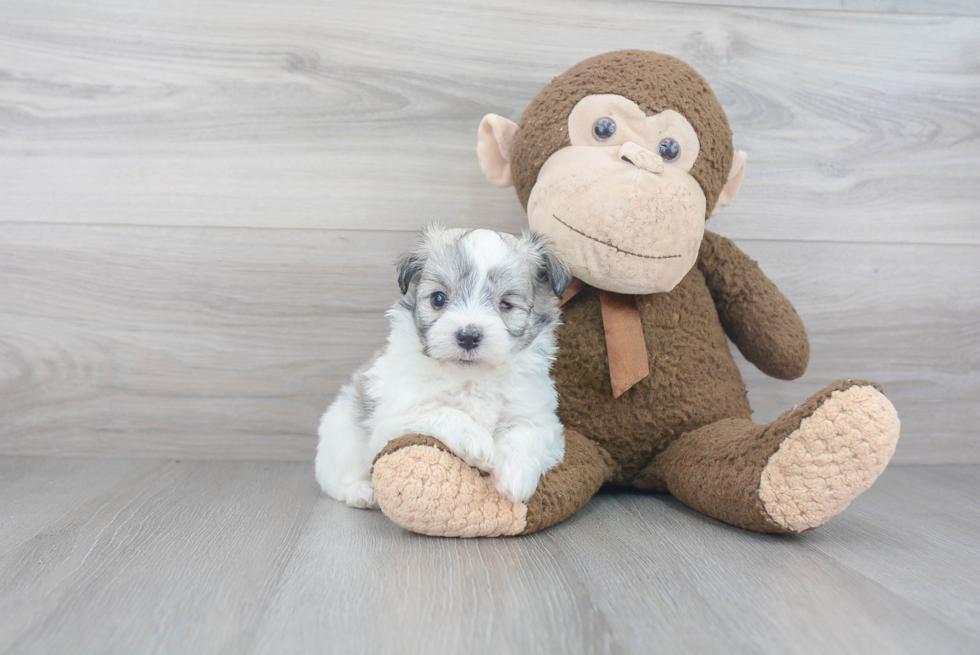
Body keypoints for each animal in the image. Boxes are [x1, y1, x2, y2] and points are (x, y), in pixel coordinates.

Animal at [314, 224, 576, 508]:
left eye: (506, 305)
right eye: (438, 299)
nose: (468, 336)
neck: (472, 378)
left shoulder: (541, 420)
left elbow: (526, 434)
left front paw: (516, 474)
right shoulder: (396, 418)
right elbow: (443, 411)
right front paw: (476, 440)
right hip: (342, 438)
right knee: (335, 482)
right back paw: (362, 492)